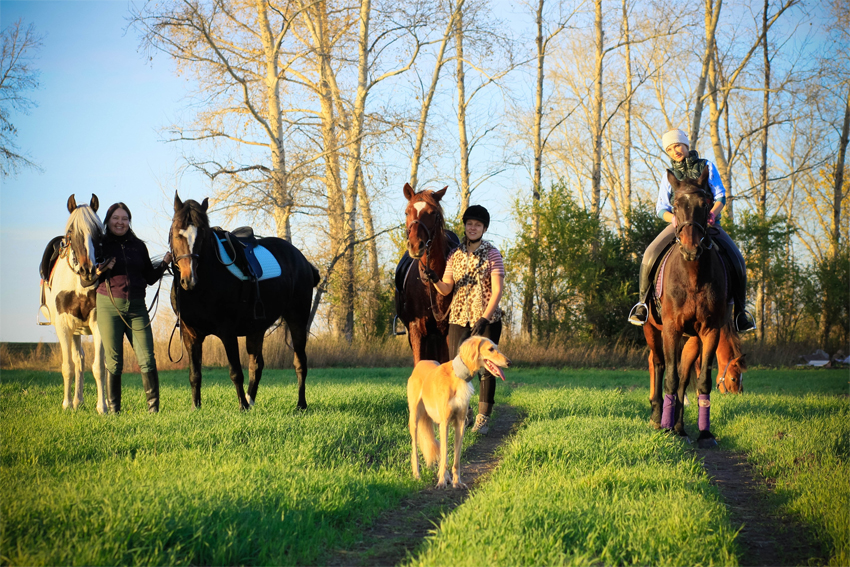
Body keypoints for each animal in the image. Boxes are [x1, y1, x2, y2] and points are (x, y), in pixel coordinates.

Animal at [170, 193, 322, 410]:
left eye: (203, 236)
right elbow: (195, 374)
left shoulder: (227, 332)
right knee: (256, 365)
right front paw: (195, 407)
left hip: (297, 320)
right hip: (257, 327)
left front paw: (241, 406)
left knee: (300, 362)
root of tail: (303, 261)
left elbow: (235, 372)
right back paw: (251, 402)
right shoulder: (190, 333)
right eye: (176, 233)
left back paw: (300, 405)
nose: (189, 280)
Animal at [406, 338, 510, 488]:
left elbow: (456, 458)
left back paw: (447, 477)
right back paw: (417, 475)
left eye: (497, 348)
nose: (509, 362)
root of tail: (421, 362)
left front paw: (457, 482)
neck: (457, 376)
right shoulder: (445, 423)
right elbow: (444, 455)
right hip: (415, 419)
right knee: (416, 450)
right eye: (491, 349)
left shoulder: (460, 423)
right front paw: (441, 482)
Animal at [644, 169, 728, 448]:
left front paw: (705, 434)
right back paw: (658, 417)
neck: (692, 275)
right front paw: (666, 428)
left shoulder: (710, 331)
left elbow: (701, 381)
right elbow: (669, 377)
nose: (692, 249)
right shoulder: (670, 329)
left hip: (692, 340)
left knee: (682, 377)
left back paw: (680, 427)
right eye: (677, 204)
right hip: (652, 330)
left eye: (705, 204)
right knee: (658, 365)